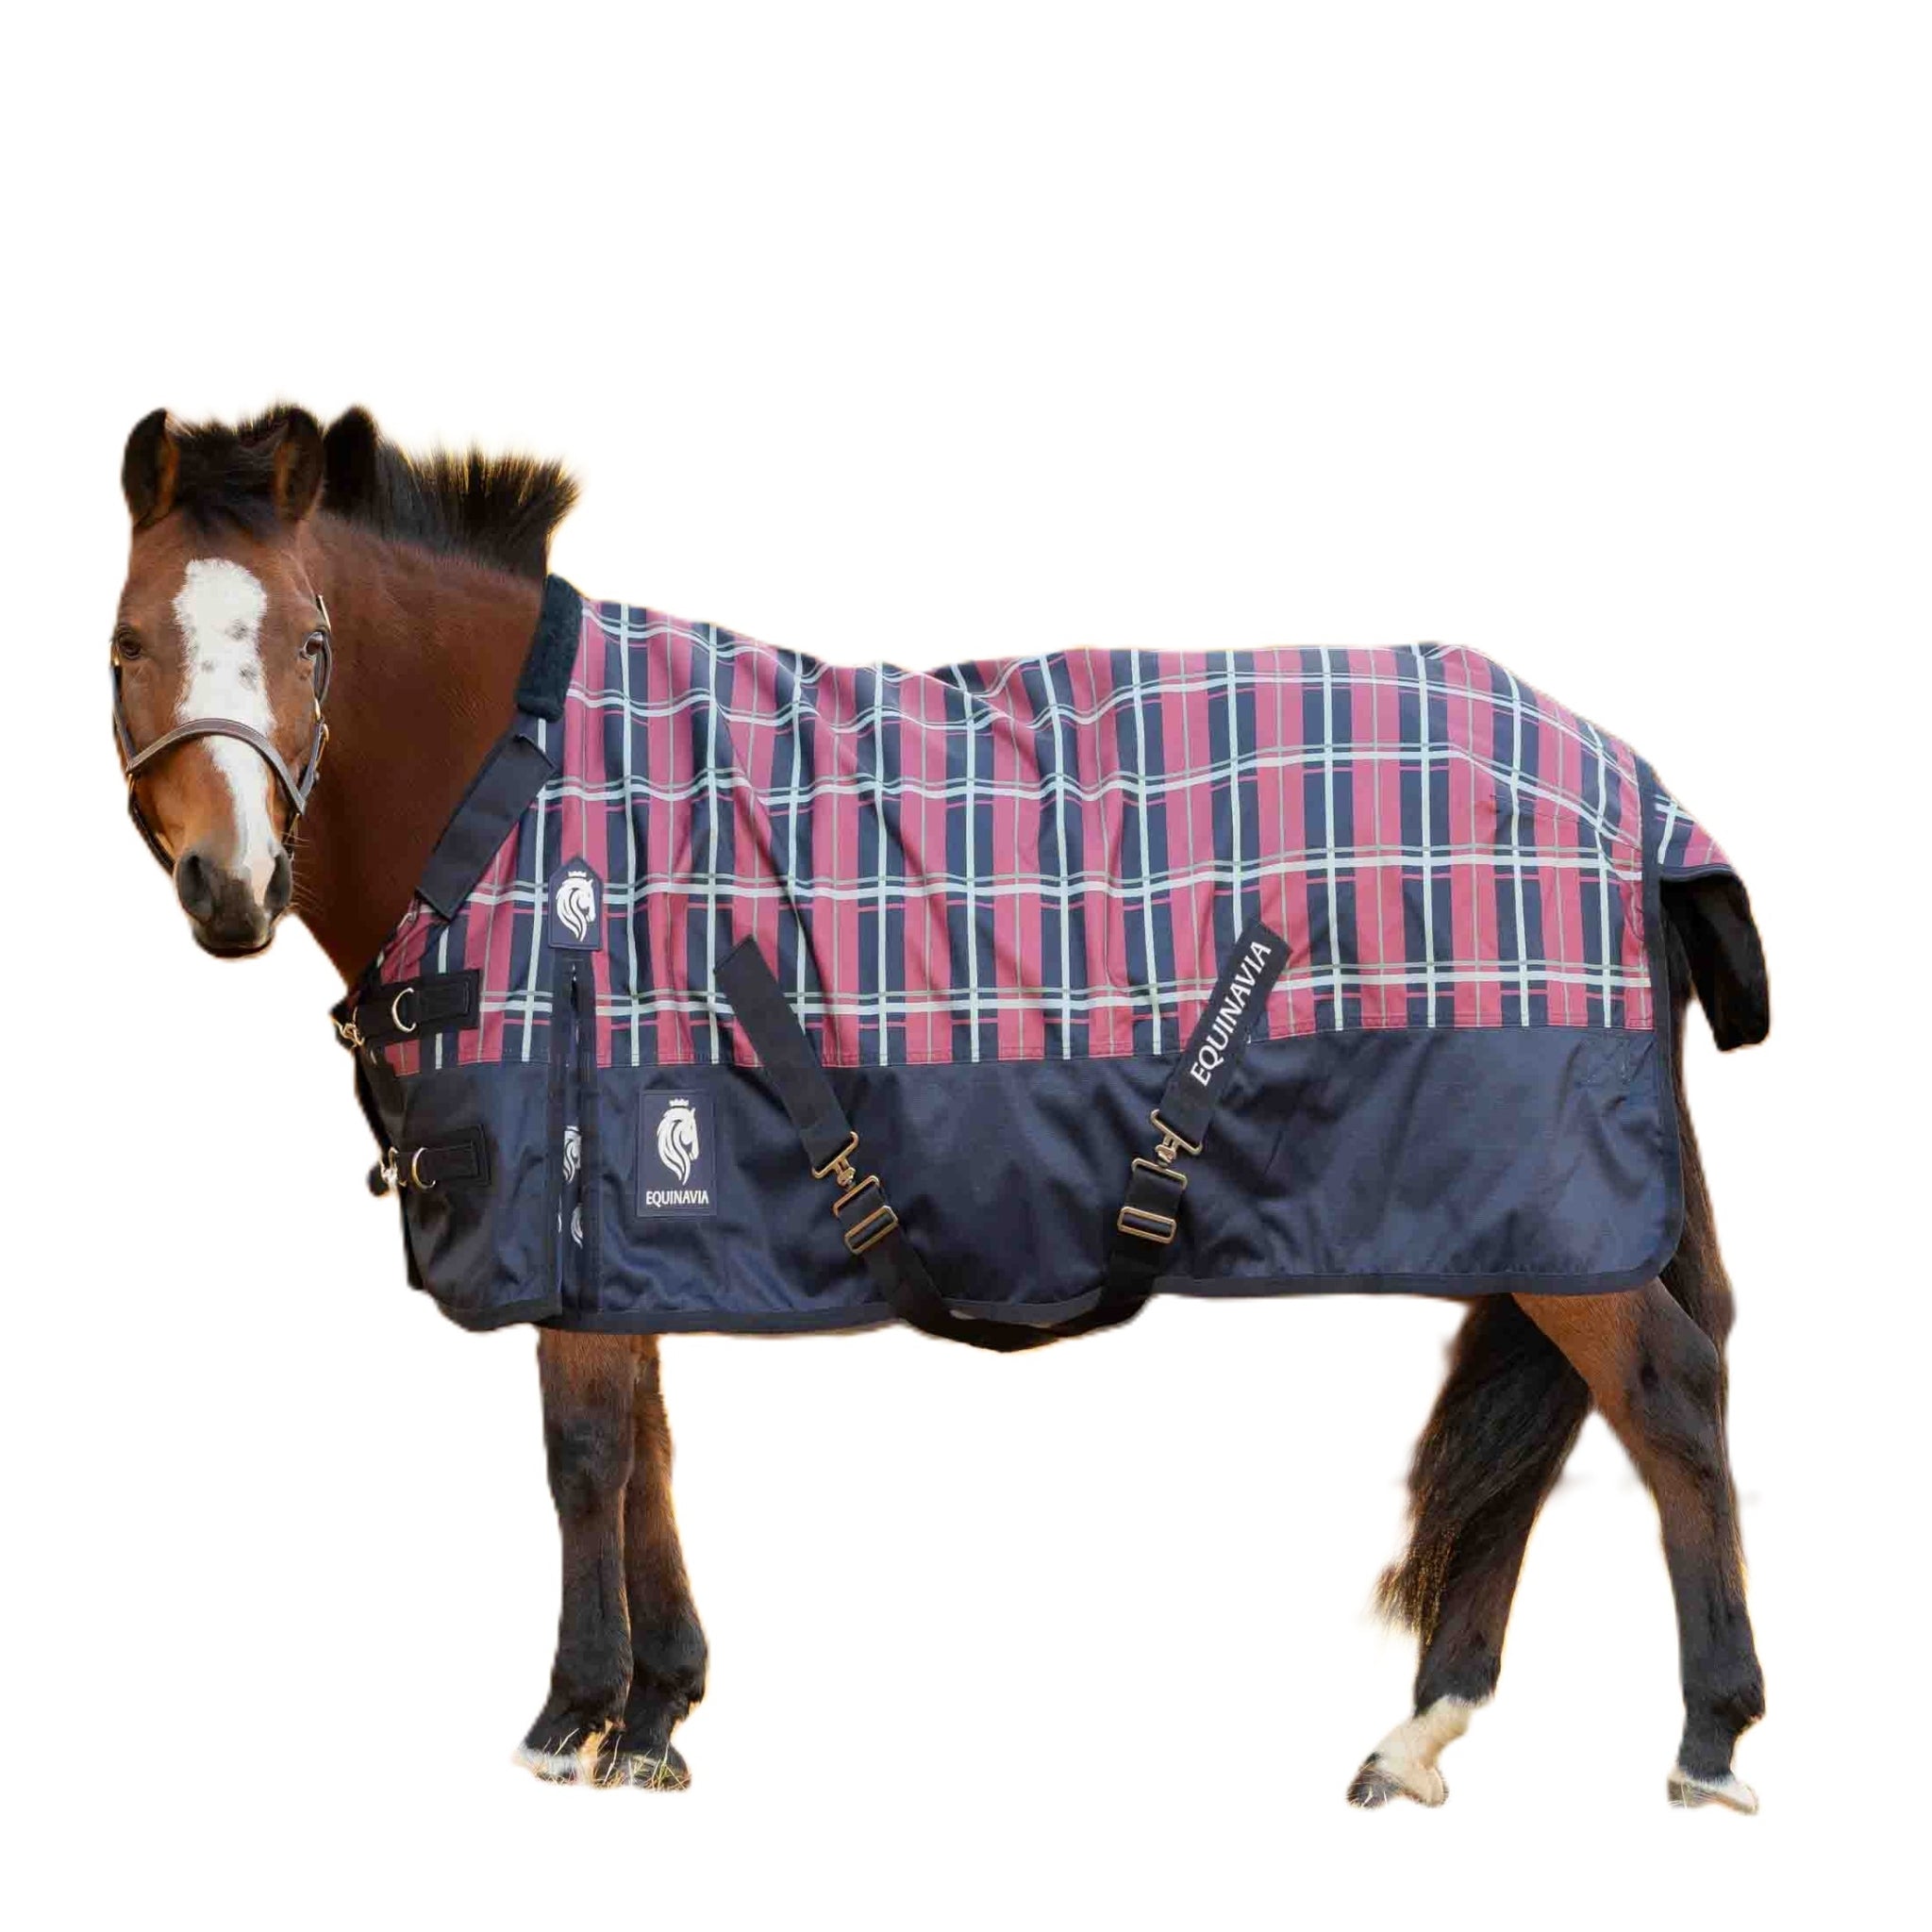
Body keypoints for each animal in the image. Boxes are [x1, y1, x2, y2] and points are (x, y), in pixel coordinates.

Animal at [106, 403, 1768, 1808]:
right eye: (128, 643)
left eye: (313, 642)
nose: (232, 887)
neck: (524, 796)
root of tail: (1640, 795)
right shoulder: (633, 1214)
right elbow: (647, 1443)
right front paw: (657, 1714)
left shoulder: (578, 1188)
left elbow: (585, 1452)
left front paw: (572, 1716)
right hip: (1541, 1214)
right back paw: (1424, 1730)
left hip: (1562, 1200)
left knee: (1670, 1397)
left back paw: (1709, 1737)